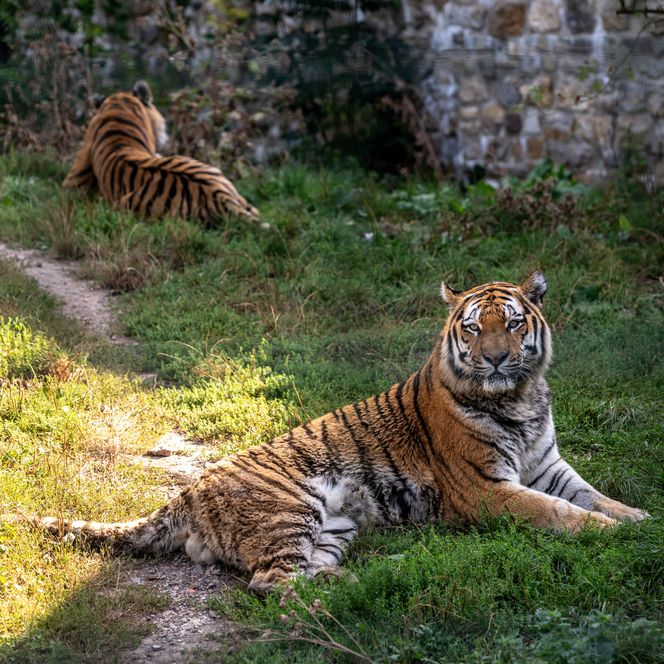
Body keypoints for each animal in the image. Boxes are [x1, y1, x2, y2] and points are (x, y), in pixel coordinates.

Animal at [9, 272, 647, 595]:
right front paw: (611, 534)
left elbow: (594, 497)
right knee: (271, 584)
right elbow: (558, 513)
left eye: (513, 324)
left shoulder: (548, 467)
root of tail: (185, 493)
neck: (518, 398)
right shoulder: (485, 488)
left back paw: (372, 577)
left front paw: (639, 518)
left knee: (308, 572)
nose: (493, 359)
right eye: (473, 327)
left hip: (335, 526)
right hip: (290, 510)